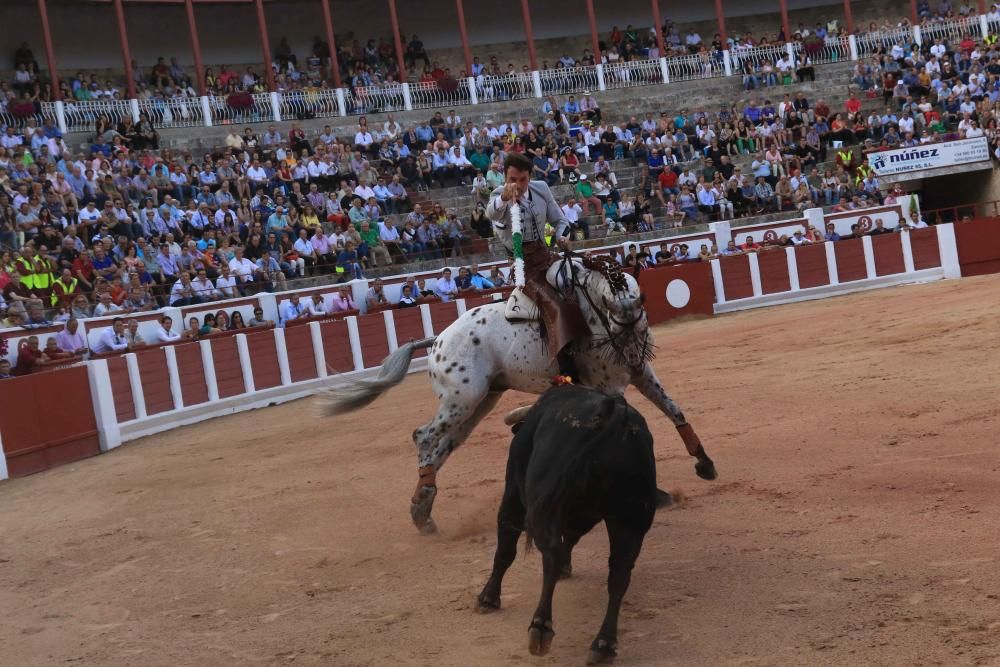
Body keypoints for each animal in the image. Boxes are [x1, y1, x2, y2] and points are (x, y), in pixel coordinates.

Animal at [324, 253, 716, 536]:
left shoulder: (641, 374)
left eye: (642, 308)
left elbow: (674, 409)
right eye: (610, 311)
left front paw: (704, 463)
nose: (633, 354)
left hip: (480, 401)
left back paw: (422, 510)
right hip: (462, 399)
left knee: (443, 447)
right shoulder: (610, 385)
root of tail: (437, 339)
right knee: (424, 436)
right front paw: (659, 494)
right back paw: (422, 505)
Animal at [474, 384, 656, 664]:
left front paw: (488, 598)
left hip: (540, 507)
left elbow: (505, 548)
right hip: (631, 520)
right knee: (620, 573)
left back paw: (541, 627)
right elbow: (570, 538)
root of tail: (615, 417)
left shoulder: (513, 493)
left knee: (550, 553)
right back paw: (603, 644)